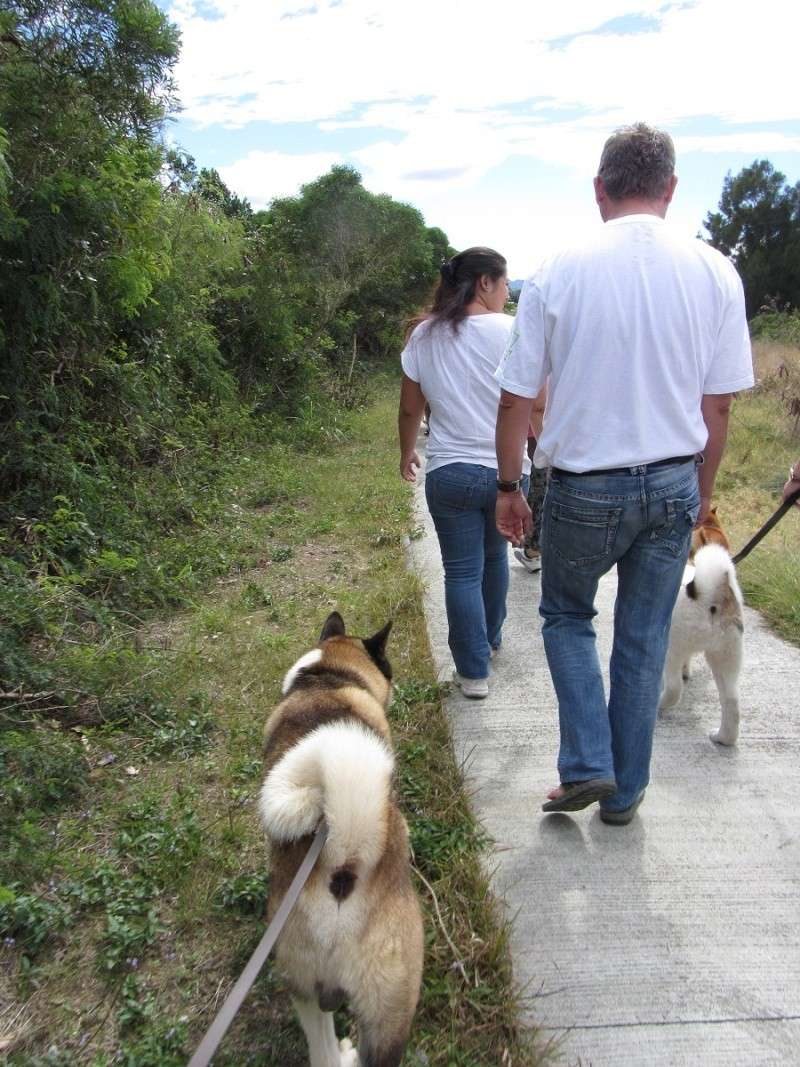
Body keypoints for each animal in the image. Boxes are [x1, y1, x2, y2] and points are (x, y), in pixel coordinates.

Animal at [661, 546, 750, 746]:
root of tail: (710, 596)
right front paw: (687, 670)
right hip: (727, 655)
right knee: (732, 702)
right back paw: (723, 738)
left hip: (671, 648)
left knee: (674, 689)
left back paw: (658, 704)